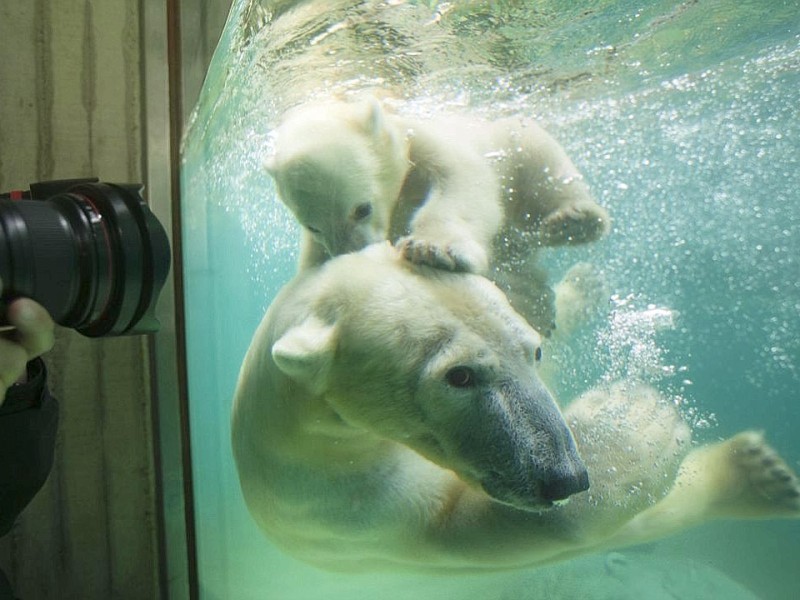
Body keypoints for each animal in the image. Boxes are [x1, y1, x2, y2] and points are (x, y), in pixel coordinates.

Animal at [234, 244, 800, 572]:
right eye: (459, 375)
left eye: (533, 351)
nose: (565, 476)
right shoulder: (347, 503)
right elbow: (492, 526)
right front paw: (639, 421)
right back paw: (757, 475)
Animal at [266, 98, 608, 332]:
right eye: (313, 226)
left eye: (362, 209)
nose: (352, 252)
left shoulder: (421, 144)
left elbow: (461, 182)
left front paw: (432, 249)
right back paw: (534, 302)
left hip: (509, 149)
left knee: (536, 152)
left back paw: (574, 221)